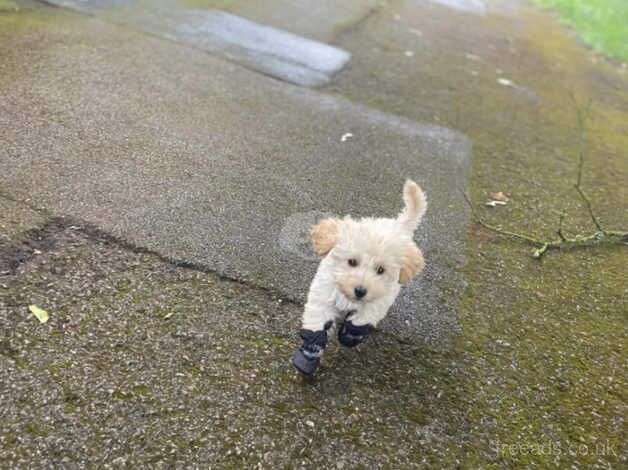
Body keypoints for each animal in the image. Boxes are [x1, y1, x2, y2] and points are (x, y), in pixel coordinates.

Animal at [294, 180, 426, 374]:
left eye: (380, 270)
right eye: (352, 262)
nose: (360, 291)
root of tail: (398, 226)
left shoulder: (382, 297)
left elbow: (366, 314)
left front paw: (351, 334)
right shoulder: (324, 291)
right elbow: (318, 320)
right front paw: (309, 353)